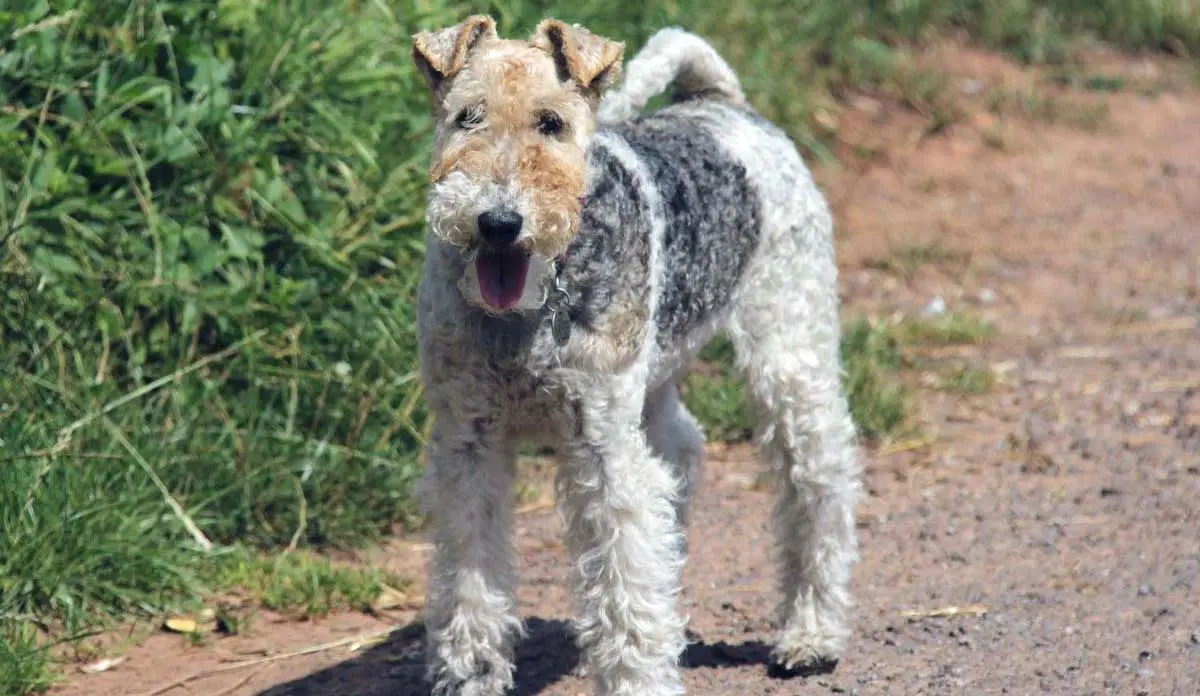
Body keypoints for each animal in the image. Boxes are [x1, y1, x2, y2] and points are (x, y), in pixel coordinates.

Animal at [412, 16, 864, 696]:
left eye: (552, 122)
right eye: (468, 116)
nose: (498, 222)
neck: (532, 305)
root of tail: (720, 104)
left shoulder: (602, 449)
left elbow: (623, 583)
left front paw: (635, 675)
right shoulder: (469, 442)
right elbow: (471, 577)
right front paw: (473, 674)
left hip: (788, 348)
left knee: (819, 482)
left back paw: (810, 633)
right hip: (651, 380)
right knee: (683, 448)